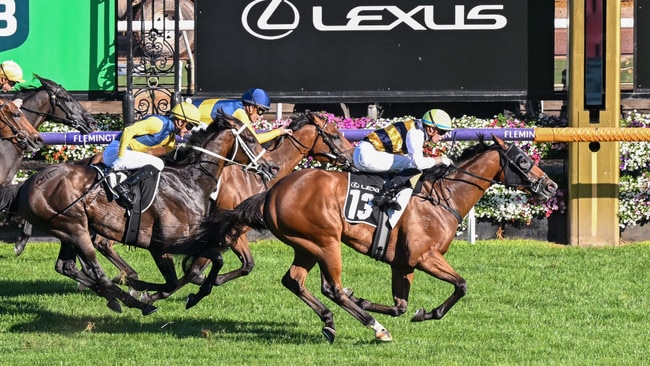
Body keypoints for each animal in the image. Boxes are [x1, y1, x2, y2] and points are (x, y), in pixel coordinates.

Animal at [0, 113, 274, 316]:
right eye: (249, 138)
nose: (271, 166)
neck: (191, 181)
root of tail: (27, 184)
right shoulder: (164, 244)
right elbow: (182, 276)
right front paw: (142, 289)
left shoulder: (195, 238)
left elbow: (210, 264)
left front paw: (190, 293)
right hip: (75, 229)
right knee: (96, 271)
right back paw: (134, 302)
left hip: (67, 230)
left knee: (66, 266)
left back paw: (116, 297)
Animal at [93, 111, 352, 300]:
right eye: (334, 135)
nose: (350, 157)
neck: (253, 177)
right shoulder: (227, 227)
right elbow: (197, 268)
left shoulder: (236, 228)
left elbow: (246, 265)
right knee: (104, 242)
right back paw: (127, 278)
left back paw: (125, 278)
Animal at [180, 135, 556, 344]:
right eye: (523, 160)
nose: (551, 186)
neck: (442, 198)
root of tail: (273, 191)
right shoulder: (424, 257)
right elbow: (461, 285)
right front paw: (425, 312)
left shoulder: (403, 264)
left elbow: (401, 305)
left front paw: (378, 303)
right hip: (325, 241)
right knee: (329, 287)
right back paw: (375, 328)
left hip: (306, 244)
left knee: (294, 281)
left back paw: (330, 322)